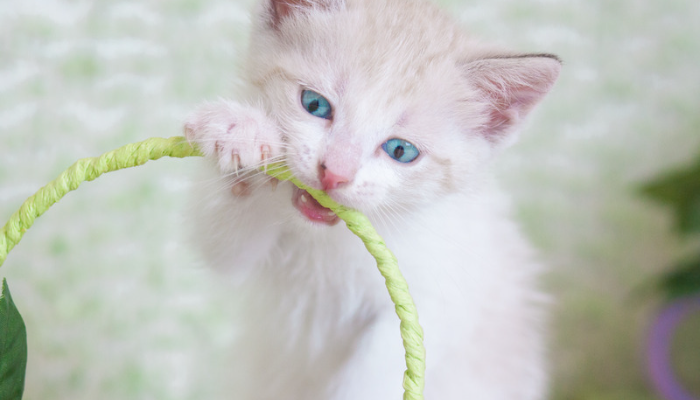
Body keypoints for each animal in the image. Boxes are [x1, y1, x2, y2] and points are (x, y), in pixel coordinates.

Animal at [183, 0, 560, 400]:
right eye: (314, 104)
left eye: (401, 151)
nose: (334, 173)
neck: (329, 243)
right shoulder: (241, 256)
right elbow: (222, 250)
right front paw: (243, 133)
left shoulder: (444, 293)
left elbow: (379, 369)